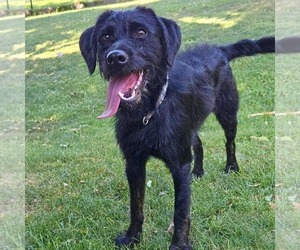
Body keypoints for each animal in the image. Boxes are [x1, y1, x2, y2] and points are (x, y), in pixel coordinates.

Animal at [79, 6, 274, 249]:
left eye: (141, 32)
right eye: (105, 36)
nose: (114, 58)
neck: (149, 112)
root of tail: (218, 49)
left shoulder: (179, 164)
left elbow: (181, 210)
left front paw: (179, 244)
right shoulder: (134, 163)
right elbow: (136, 206)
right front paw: (132, 237)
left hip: (228, 114)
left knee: (230, 142)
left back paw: (231, 166)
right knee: (198, 144)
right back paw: (198, 171)